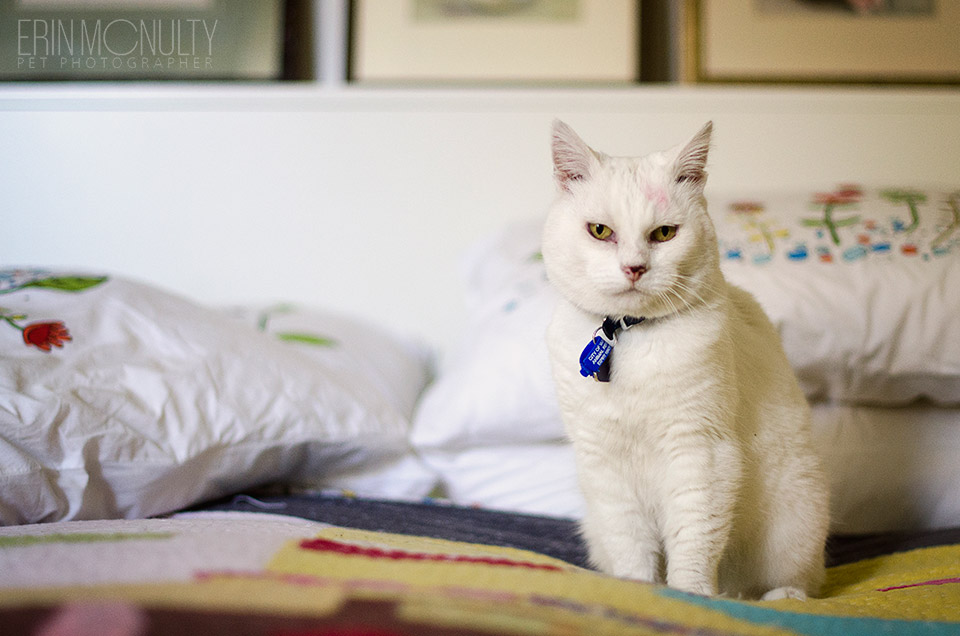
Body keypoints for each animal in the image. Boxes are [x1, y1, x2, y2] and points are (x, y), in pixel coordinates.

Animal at [544, 120, 828, 600]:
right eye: (600, 231)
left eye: (664, 234)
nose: (634, 268)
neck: (631, 339)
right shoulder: (604, 463)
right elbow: (631, 545)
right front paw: (637, 590)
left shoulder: (700, 452)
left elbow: (693, 541)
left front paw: (690, 597)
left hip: (796, 517)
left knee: (798, 582)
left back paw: (774, 597)